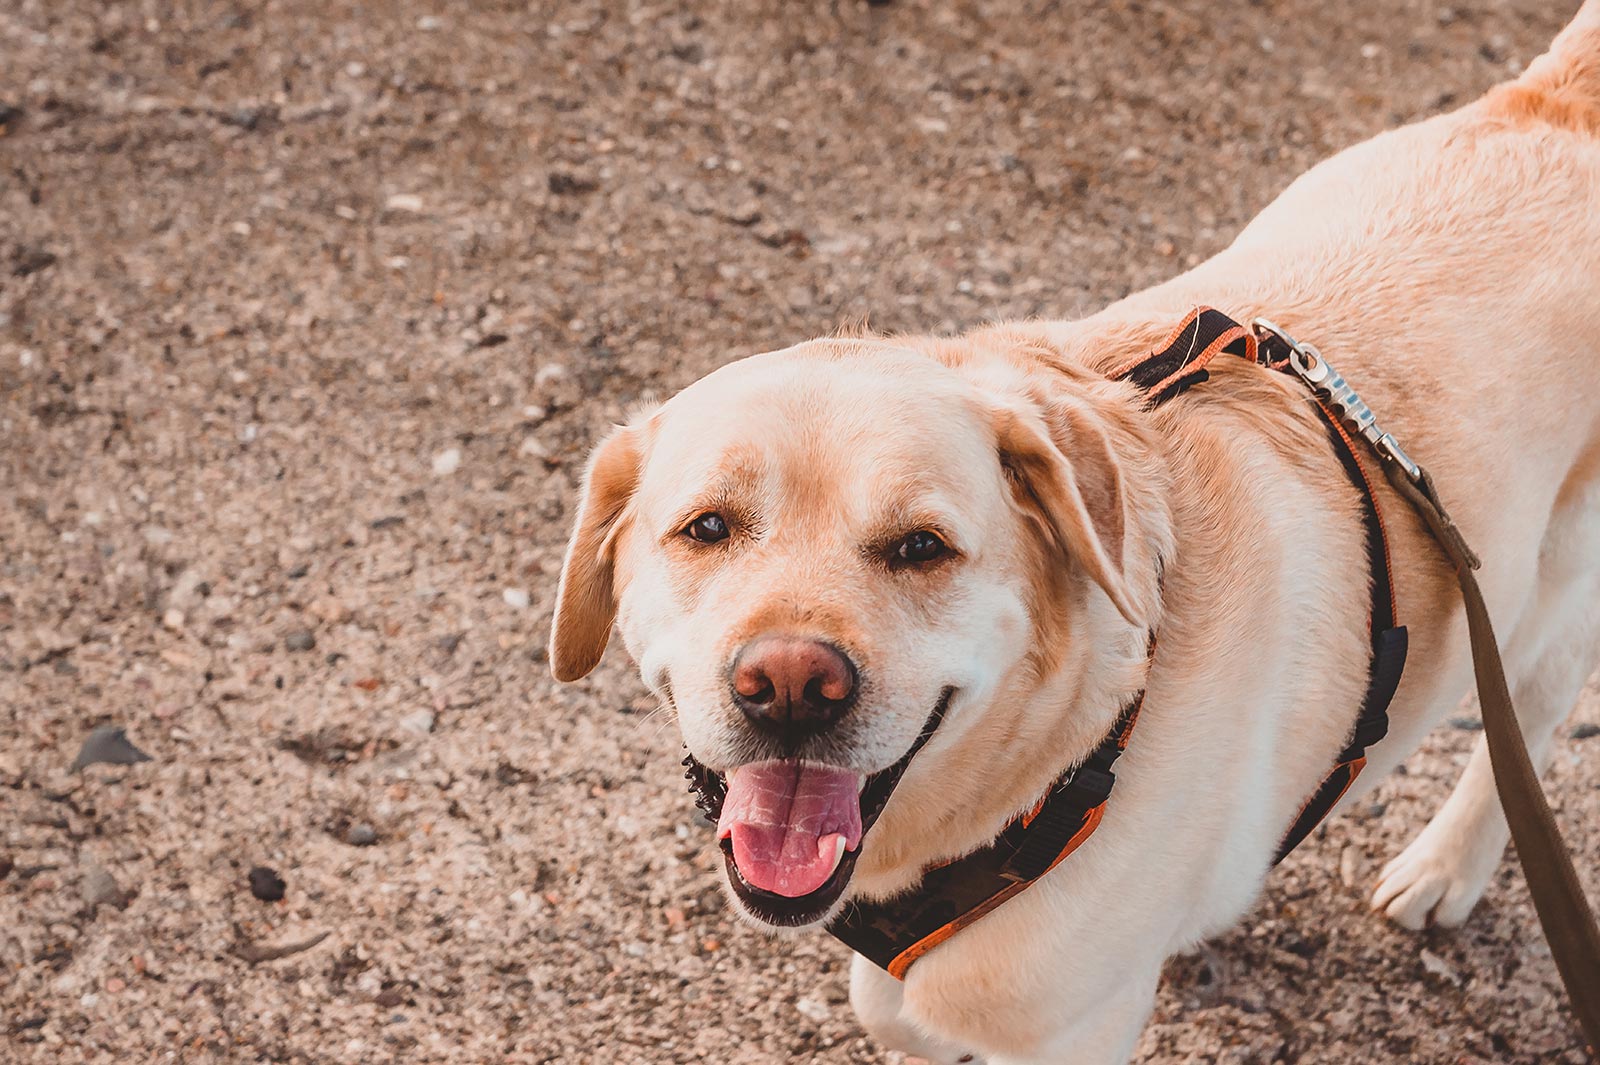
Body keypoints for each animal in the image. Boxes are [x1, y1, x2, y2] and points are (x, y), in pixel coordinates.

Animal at [550, 6, 1600, 1055]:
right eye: (708, 526)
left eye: (922, 546)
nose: (790, 688)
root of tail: (1557, 106)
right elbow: (896, 1011)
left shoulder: (1074, 1023)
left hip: (1556, 596)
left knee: (1533, 717)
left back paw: (1445, 867)